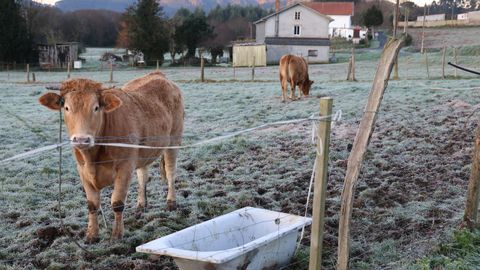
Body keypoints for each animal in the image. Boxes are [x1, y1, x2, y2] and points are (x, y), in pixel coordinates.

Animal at [37, 71, 184, 243]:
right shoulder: (82, 171)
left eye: (95, 107)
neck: (92, 157)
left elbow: (117, 203)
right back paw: (141, 205)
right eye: (66, 107)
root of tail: (158, 74)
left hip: (174, 140)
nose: (81, 139)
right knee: (143, 175)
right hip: (143, 152)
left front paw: (117, 235)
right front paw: (92, 235)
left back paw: (171, 202)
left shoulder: (125, 168)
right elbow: (92, 205)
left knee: (170, 171)